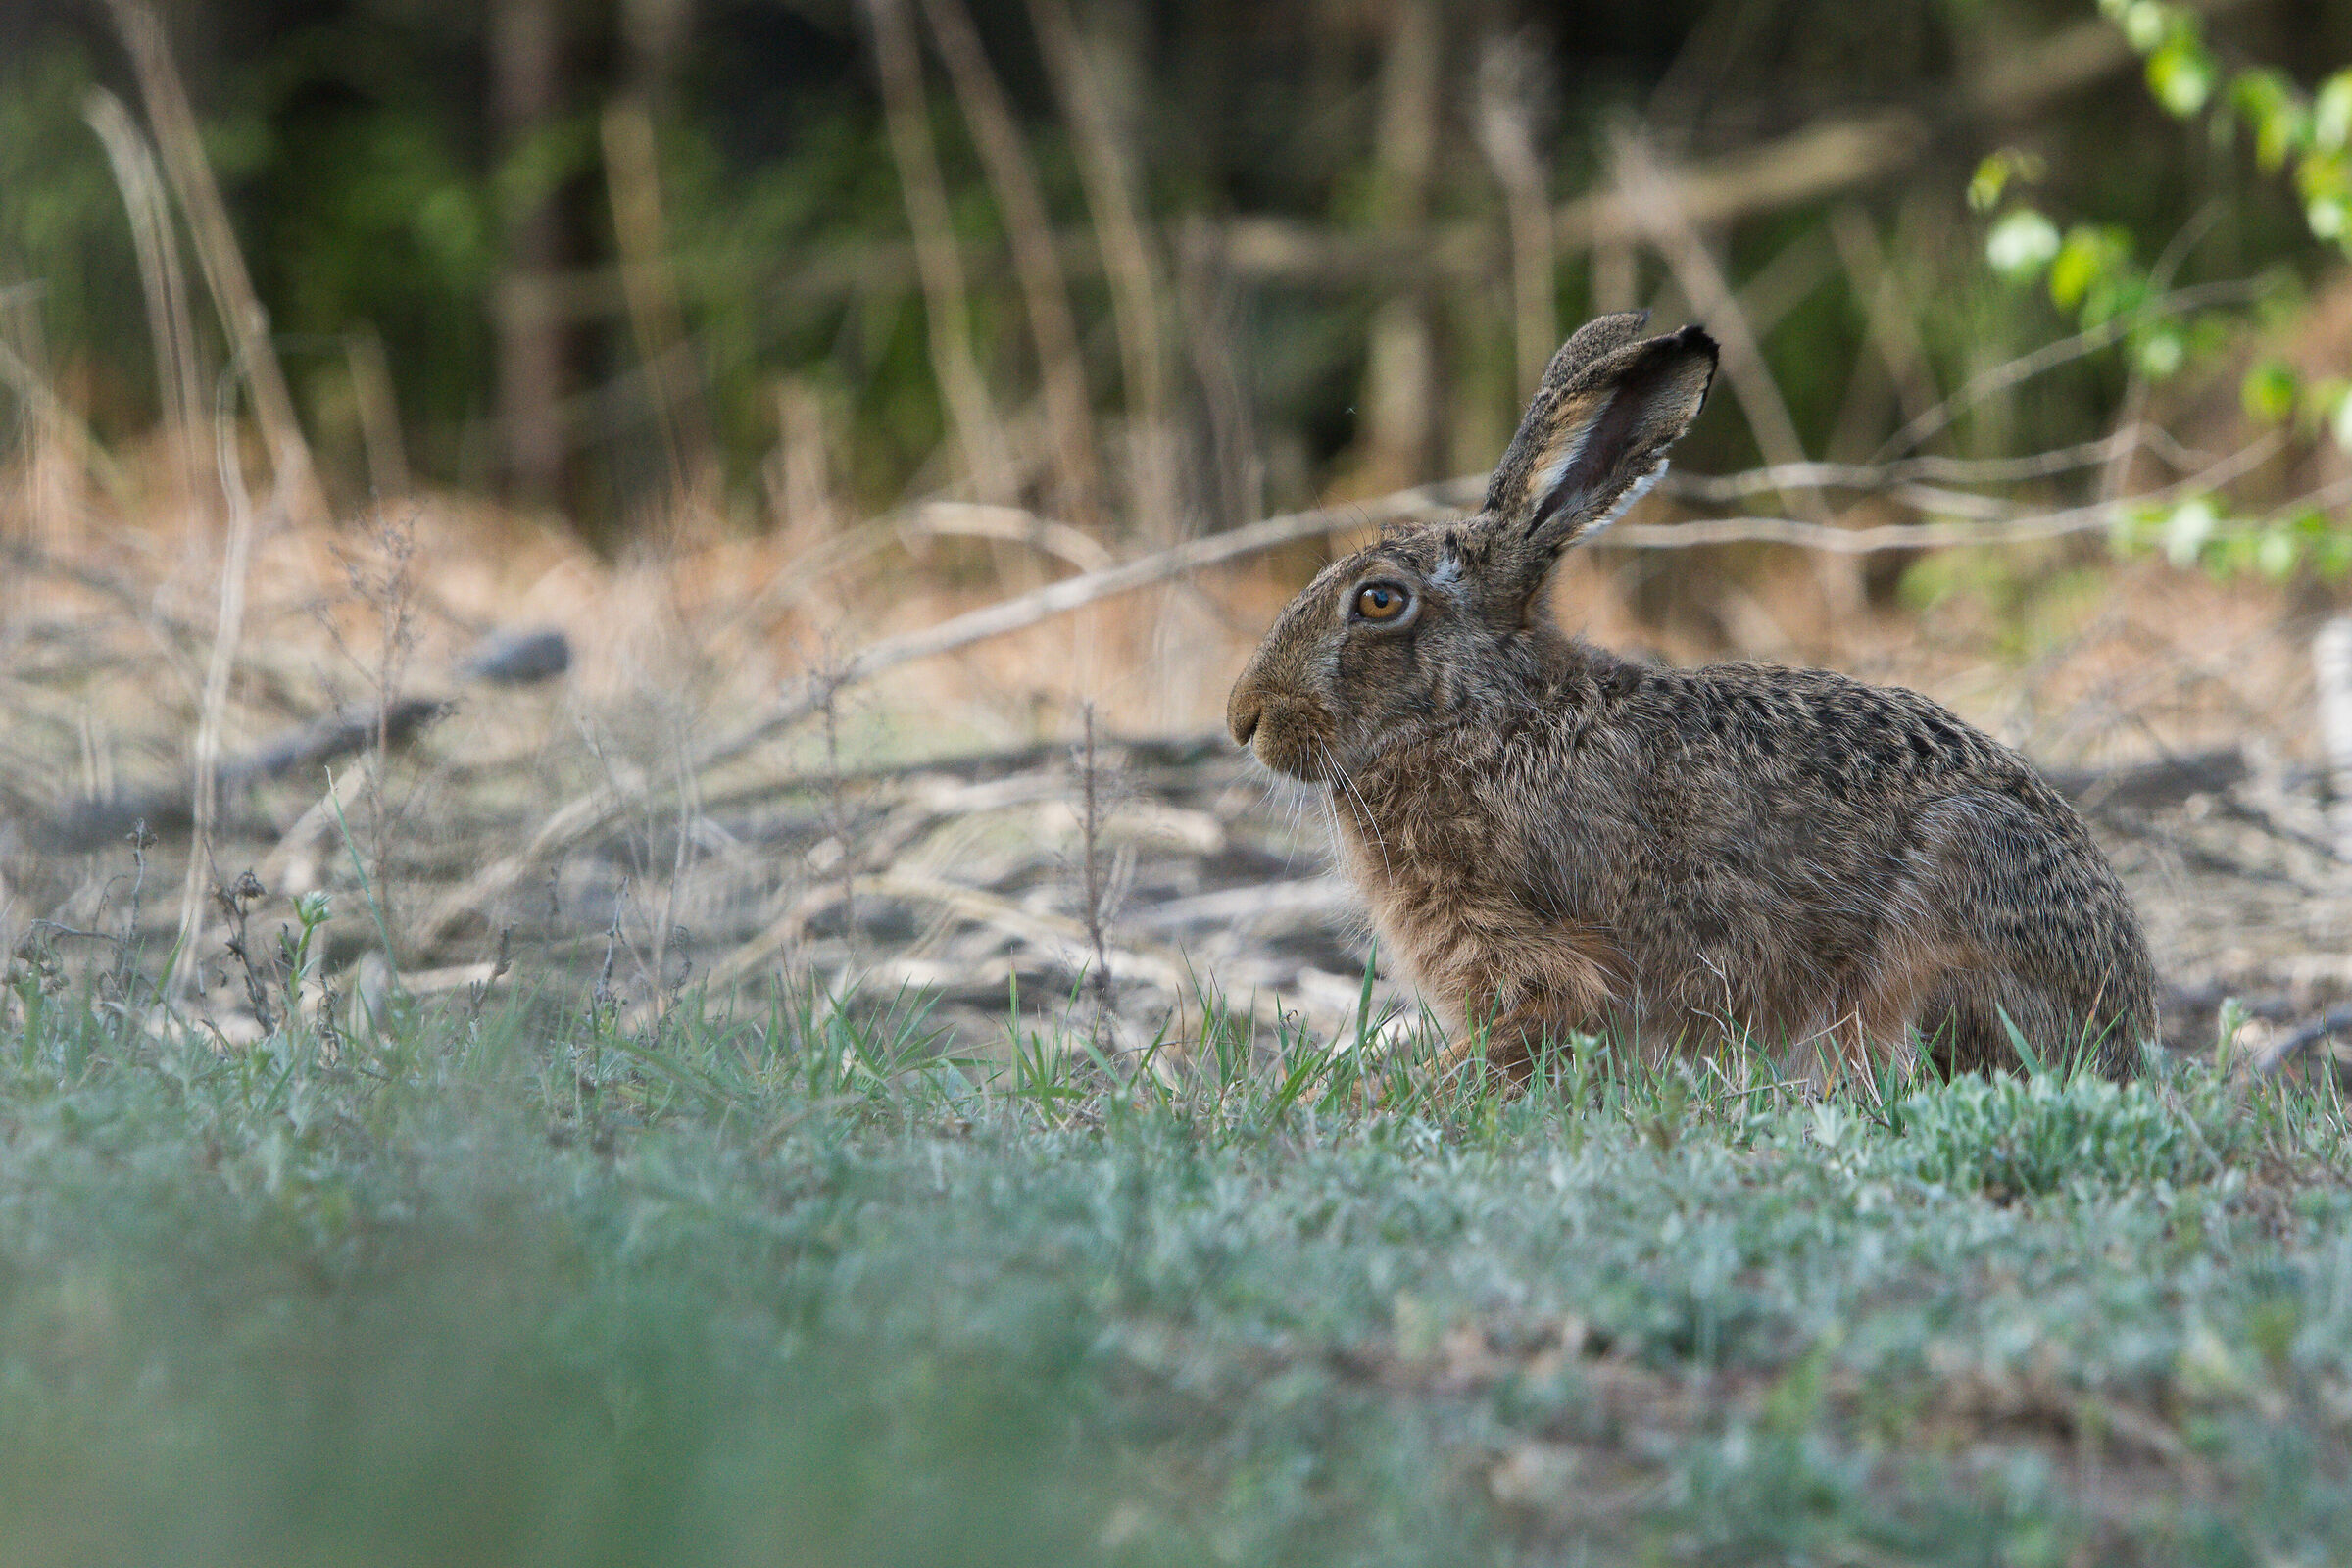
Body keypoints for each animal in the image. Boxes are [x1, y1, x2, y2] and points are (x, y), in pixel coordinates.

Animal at [1226, 313, 2157, 1087]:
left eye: (1381, 600)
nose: (1244, 718)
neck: (1479, 715)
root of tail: (2128, 1025)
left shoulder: (1541, 956)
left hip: (1953, 896)